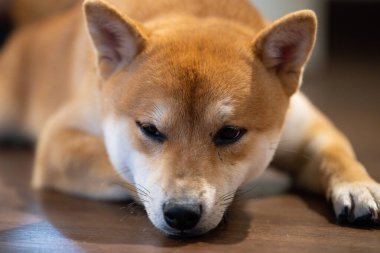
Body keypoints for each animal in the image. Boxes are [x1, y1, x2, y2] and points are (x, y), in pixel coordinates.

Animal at [0, 0, 380, 236]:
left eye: (230, 133)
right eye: (149, 129)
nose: (181, 213)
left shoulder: (304, 127)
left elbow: (335, 152)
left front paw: (358, 186)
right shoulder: (59, 139)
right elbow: (121, 170)